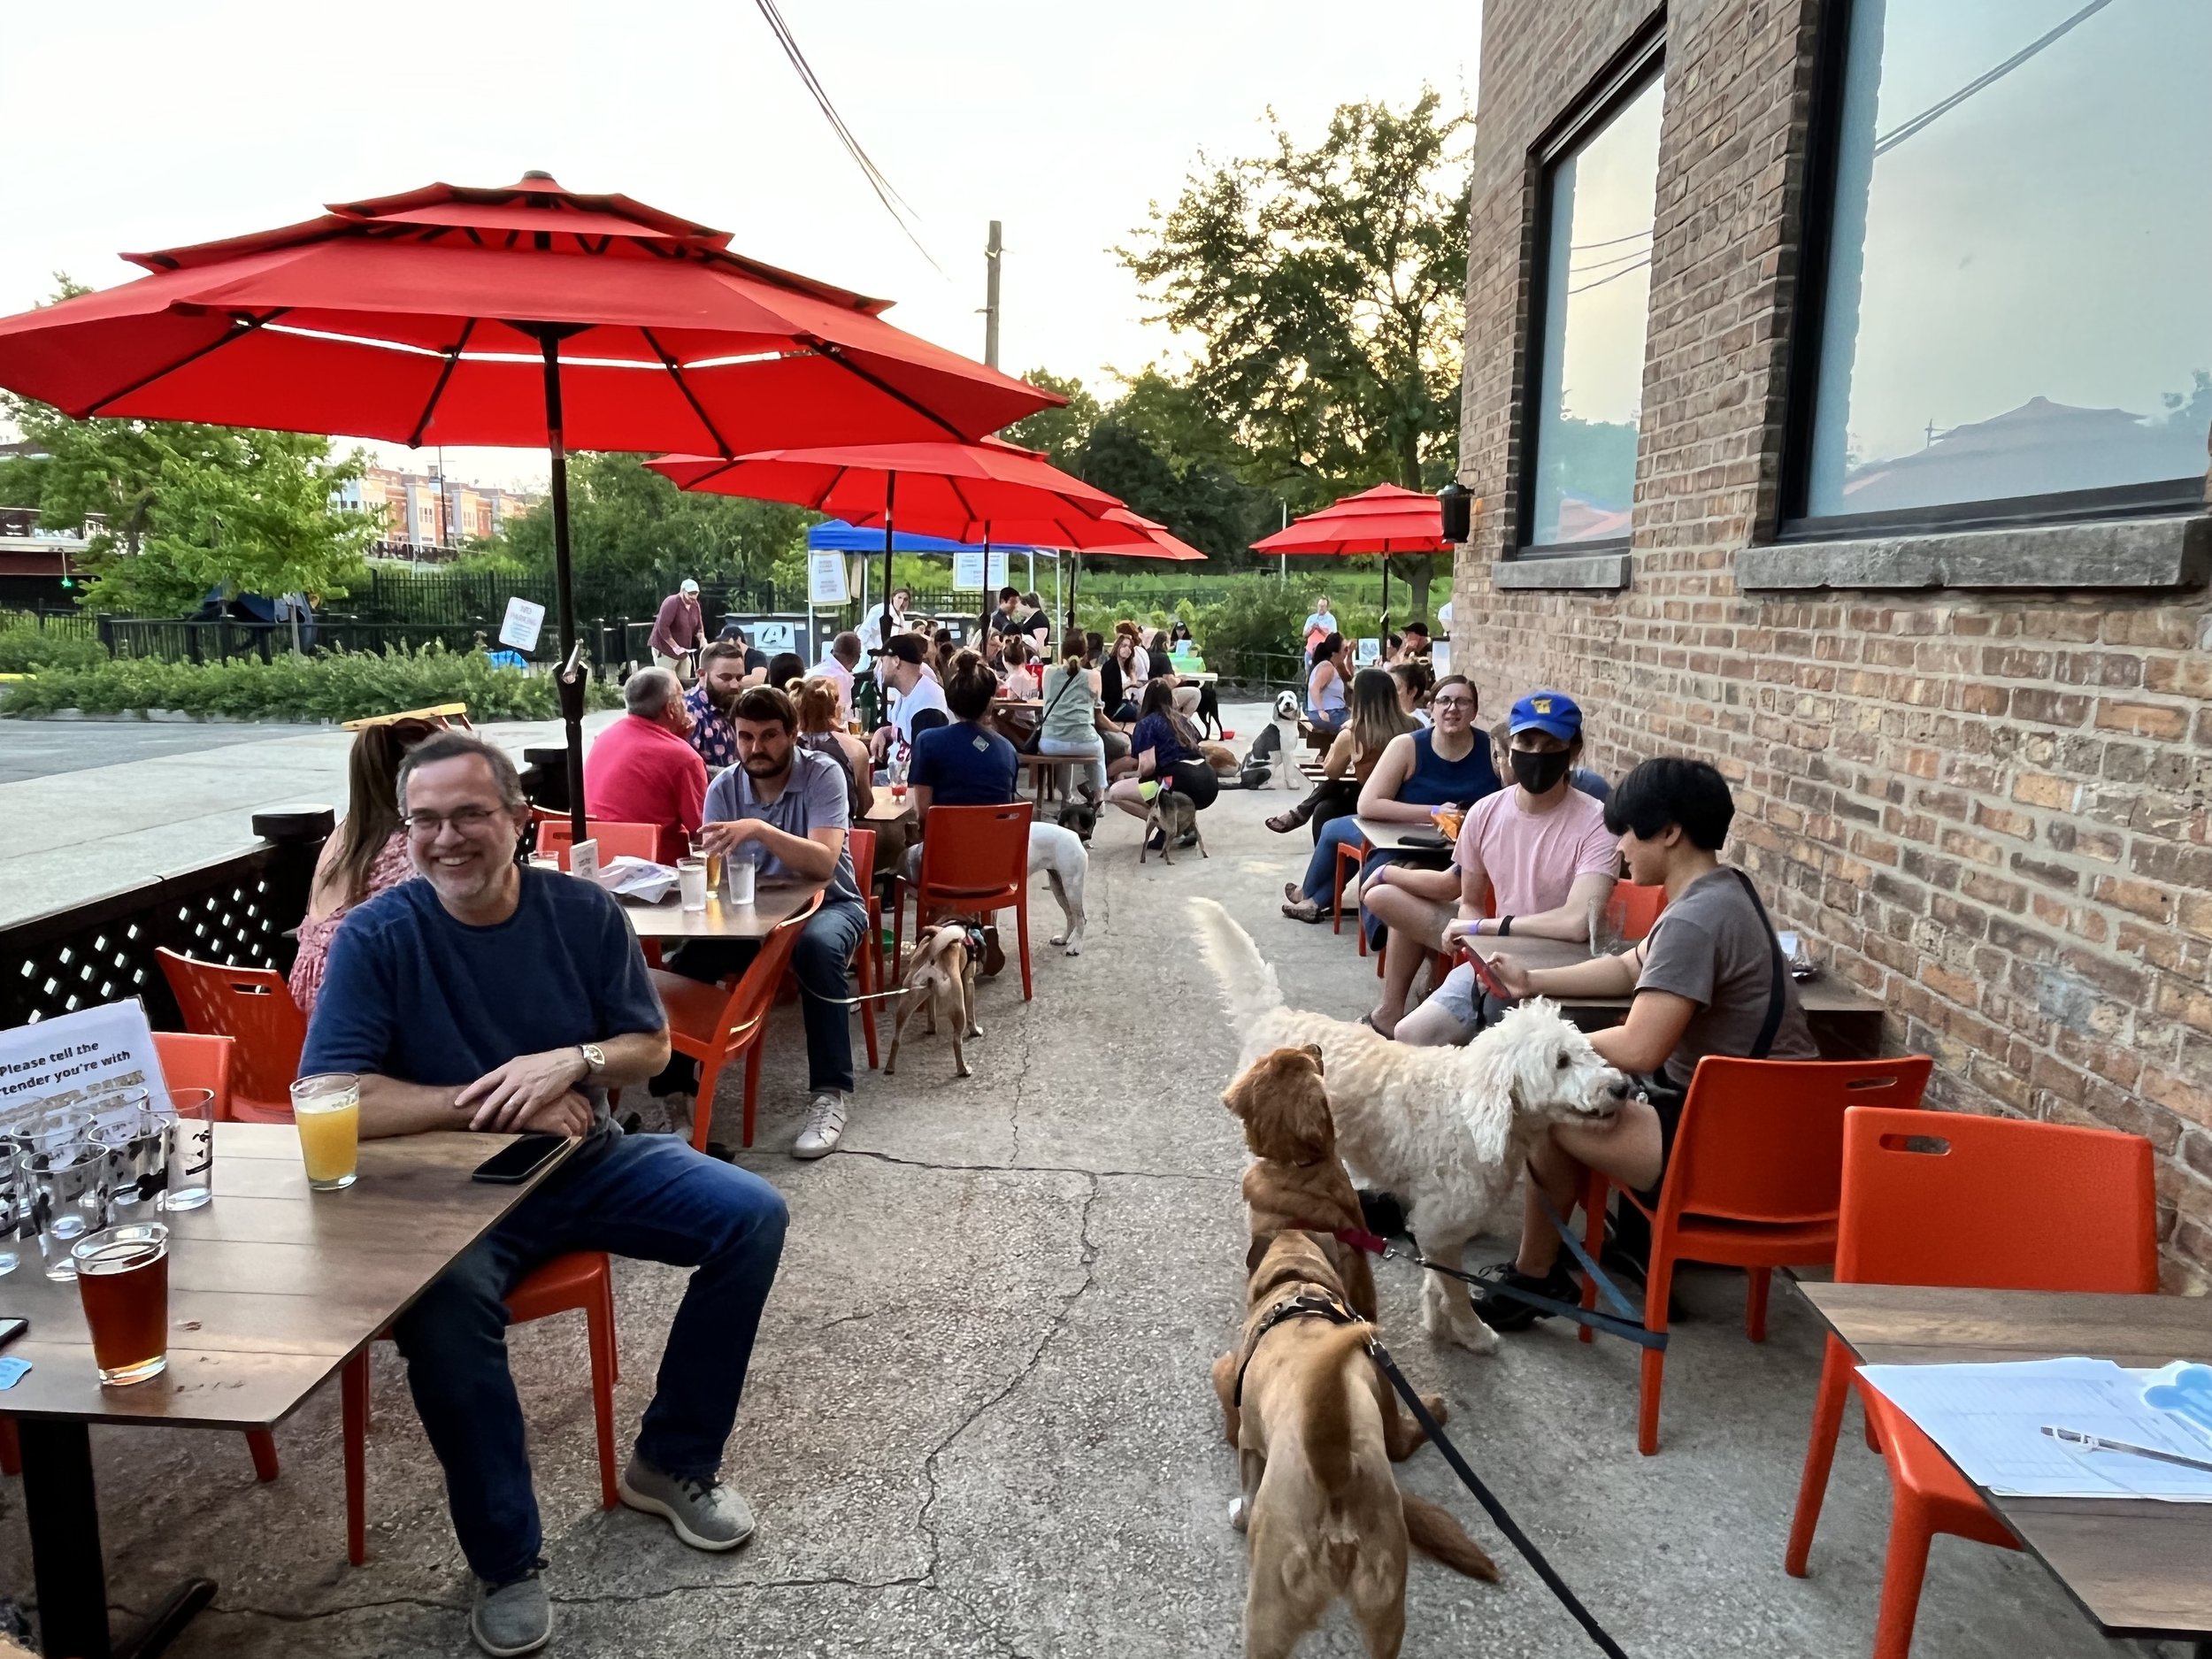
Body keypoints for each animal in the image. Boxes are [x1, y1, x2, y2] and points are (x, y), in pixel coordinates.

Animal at [885, 916, 982, 1084]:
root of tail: (933, 956)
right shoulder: (969, 982)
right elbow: (972, 1015)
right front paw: (975, 1030)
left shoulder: (930, 995)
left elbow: (931, 1012)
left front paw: (931, 1028)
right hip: (958, 1008)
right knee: (956, 1041)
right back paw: (963, 1069)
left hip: (906, 1004)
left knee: (896, 1038)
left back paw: (890, 1067)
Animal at [1212, 1239, 1504, 1659]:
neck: (1300, 1287)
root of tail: (1335, 1471)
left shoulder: (1249, 1440)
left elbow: (1247, 1486)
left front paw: (1240, 1514)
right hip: (1386, 1605)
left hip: (1268, 1611)